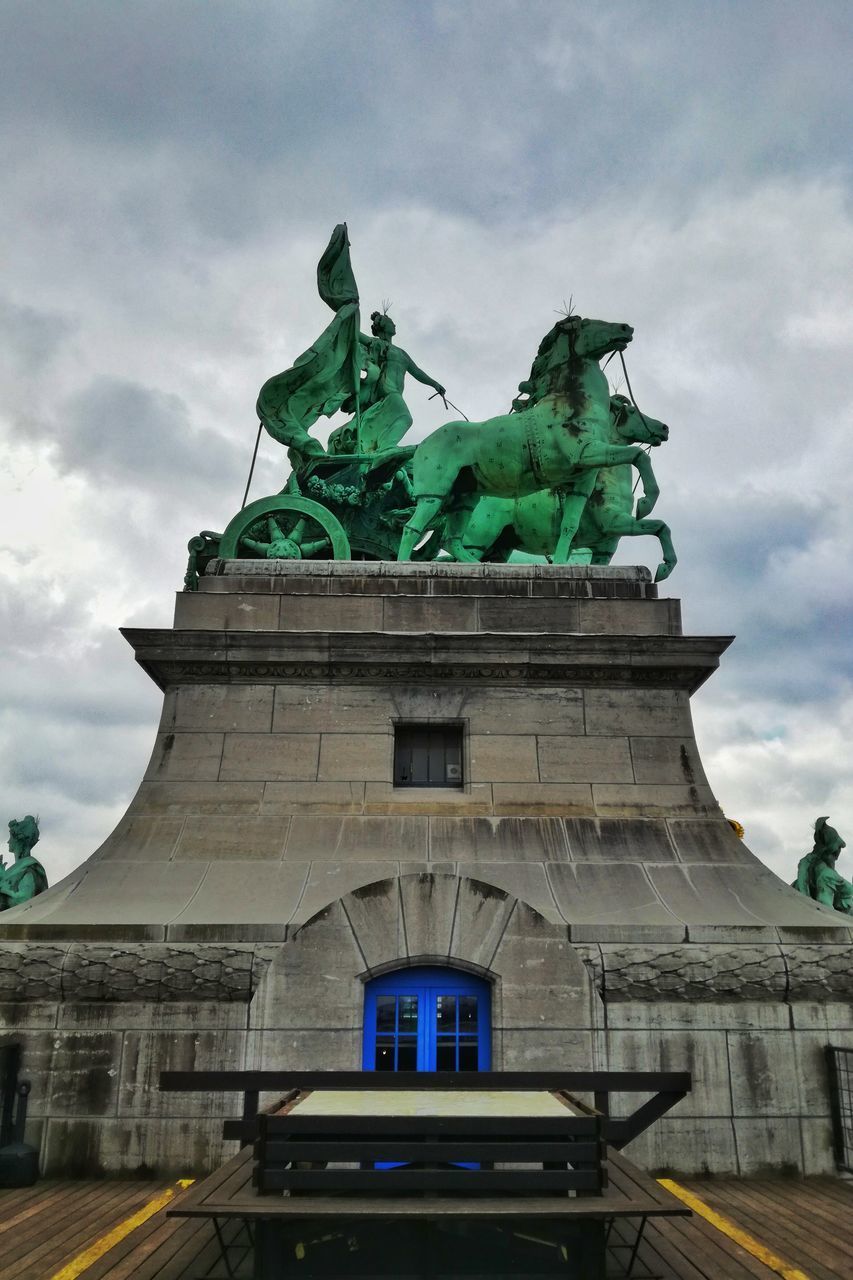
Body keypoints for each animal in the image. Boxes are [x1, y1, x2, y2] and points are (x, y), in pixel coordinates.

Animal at [397, 313, 655, 560]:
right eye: (588, 323)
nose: (625, 328)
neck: (572, 401)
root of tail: (422, 444)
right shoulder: (583, 452)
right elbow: (638, 454)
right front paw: (646, 503)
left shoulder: (582, 480)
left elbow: (569, 527)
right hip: (435, 494)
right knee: (412, 528)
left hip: (465, 498)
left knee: (452, 541)